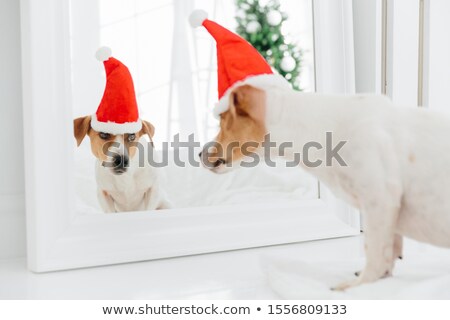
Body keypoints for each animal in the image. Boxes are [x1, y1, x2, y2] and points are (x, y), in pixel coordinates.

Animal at [200, 84, 450, 290]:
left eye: (222, 119)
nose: (199, 153)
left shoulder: (380, 199)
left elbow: (374, 252)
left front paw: (359, 285)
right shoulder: (390, 210)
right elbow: (391, 250)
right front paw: (382, 277)